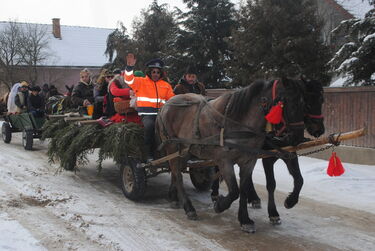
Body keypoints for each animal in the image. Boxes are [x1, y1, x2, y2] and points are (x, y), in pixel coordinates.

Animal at [156, 77, 308, 232]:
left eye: (304, 104)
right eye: (288, 103)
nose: (297, 138)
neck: (238, 122)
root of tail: (166, 105)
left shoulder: (249, 161)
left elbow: (243, 189)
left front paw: (245, 220)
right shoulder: (225, 161)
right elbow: (234, 190)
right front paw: (220, 205)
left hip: (185, 150)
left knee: (176, 172)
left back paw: (174, 197)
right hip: (172, 146)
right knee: (177, 173)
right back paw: (189, 208)